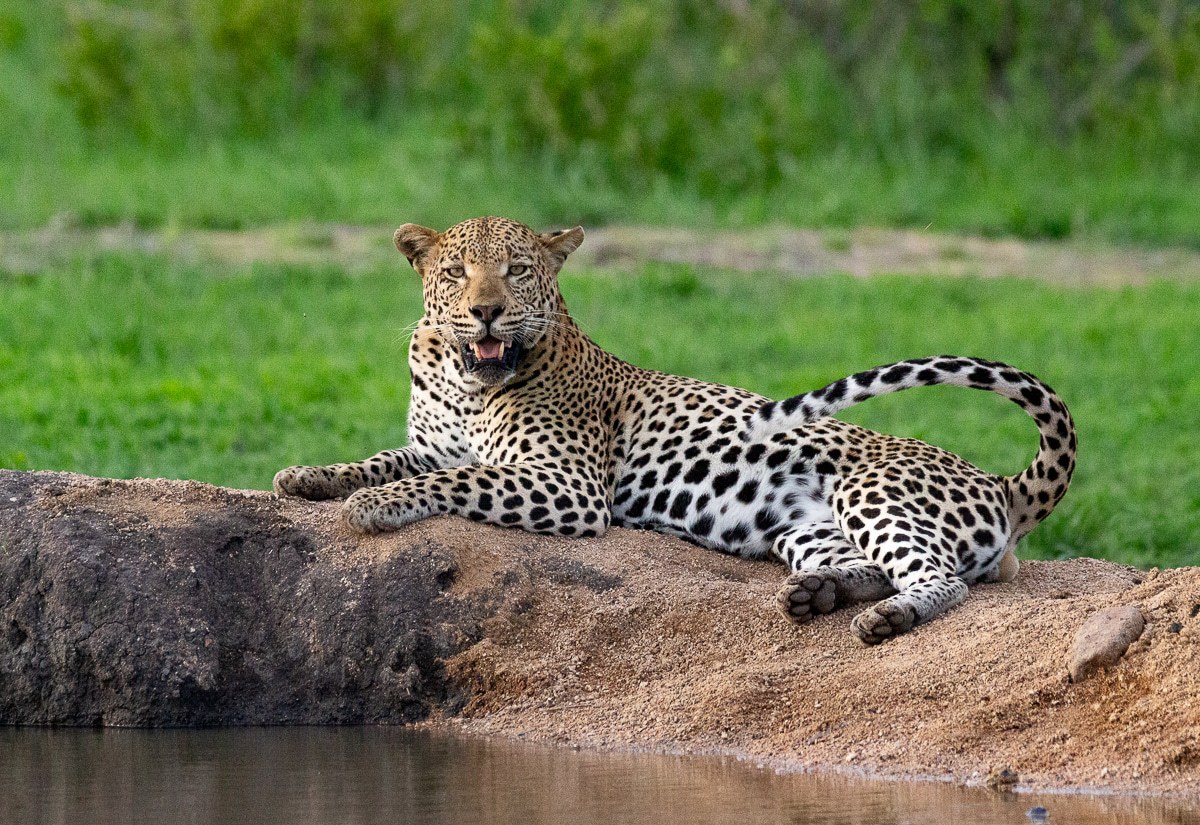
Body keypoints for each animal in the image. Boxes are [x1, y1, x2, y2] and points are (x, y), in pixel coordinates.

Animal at [274, 216, 1076, 644]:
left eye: (518, 270)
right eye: (454, 273)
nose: (486, 311)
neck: (465, 378)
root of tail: (1001, 483)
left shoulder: (566, 487)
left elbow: (456, 477)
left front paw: (375, 508)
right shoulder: (427, 443)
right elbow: (386, 458)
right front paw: (307, 476)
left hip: (876, 493)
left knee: (942, 579)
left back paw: (888, 617)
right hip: (803, 525)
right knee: (870, 564)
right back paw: (817, 595)